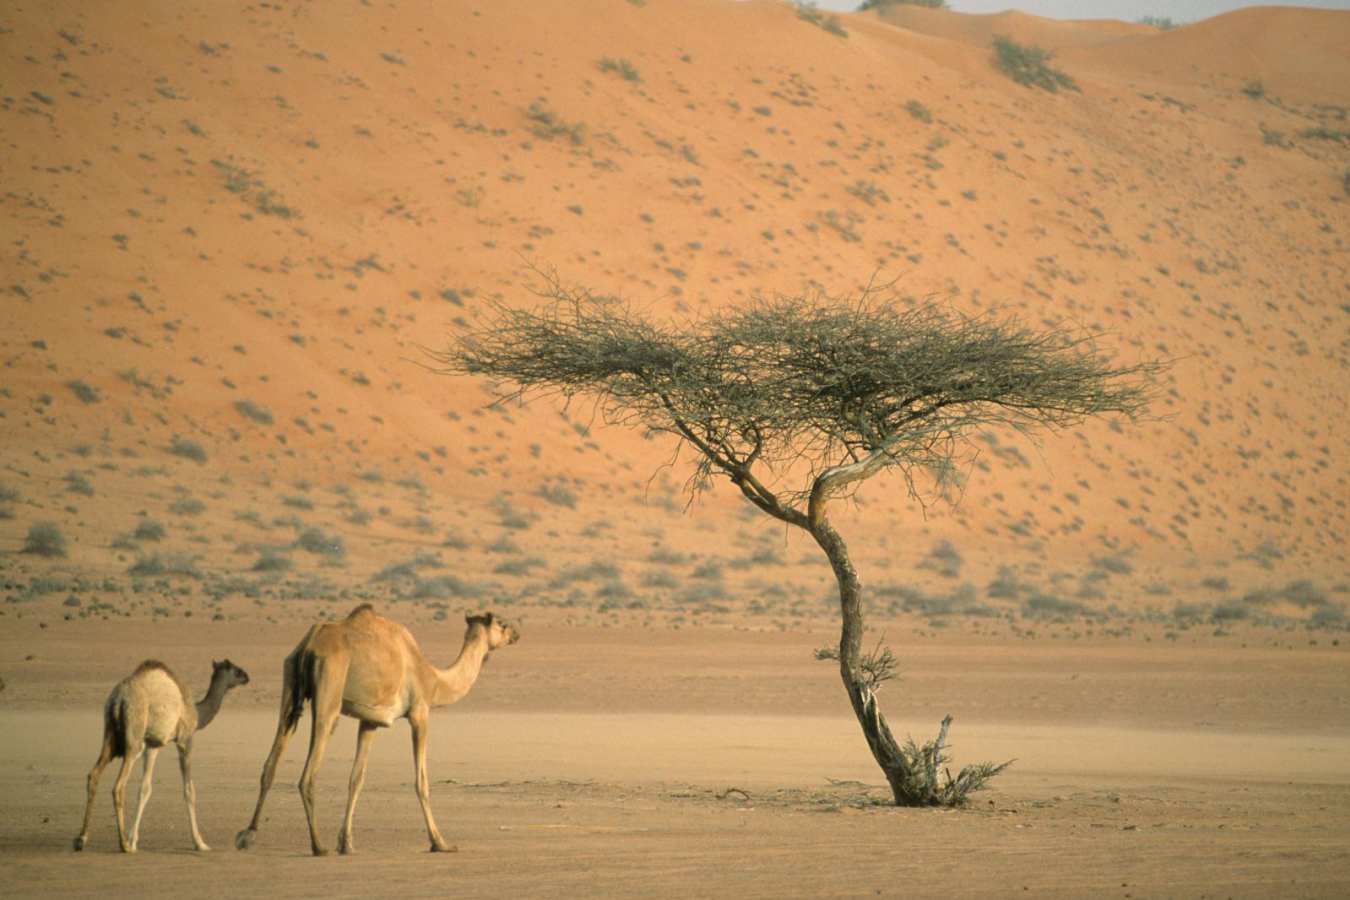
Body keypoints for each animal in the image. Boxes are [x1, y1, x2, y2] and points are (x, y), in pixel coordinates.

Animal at [74, 658, 250, 853]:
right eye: (235, 669)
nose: (247, 677)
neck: (196, 713)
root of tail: (118, 698)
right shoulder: (185, 740)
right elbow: (189, 791)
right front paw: (200, 843)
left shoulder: (152, 745)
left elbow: (145, 789)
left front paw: (134, 839)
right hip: (134, 739)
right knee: (118, 786)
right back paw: (123, 845)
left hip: (110, 734)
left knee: (94, 774)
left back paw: (81, 839)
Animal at [234, 604, 520, 856]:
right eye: (501, 623)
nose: (516, 632)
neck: (433, 680)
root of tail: (309, 646)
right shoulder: (420, 713)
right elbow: (421, 781)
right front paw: (441, 843)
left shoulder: (370, 721)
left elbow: (356, 779)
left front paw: (347, 844)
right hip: (329, 691)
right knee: (308, 773)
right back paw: (318, 846)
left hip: (290, 682)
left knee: (271, 762)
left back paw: (248, 835)